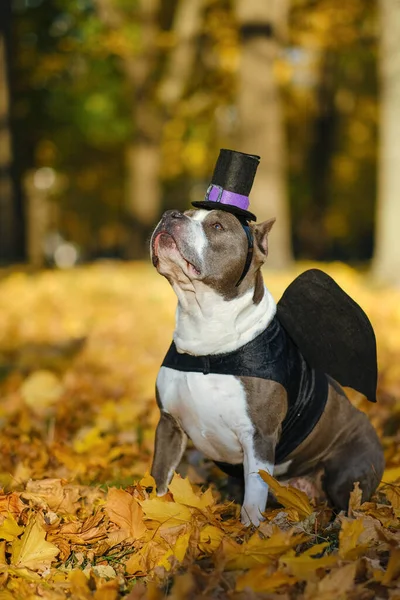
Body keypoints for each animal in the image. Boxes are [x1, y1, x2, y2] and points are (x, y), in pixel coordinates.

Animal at [149, 210, 384, 524]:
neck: (207, 343)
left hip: (348, 469)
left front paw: (249, 530)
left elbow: (254, 493)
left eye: (217, 226)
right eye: (185, 214)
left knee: (349, 504)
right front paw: (153, 515)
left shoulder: (259, 437)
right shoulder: (168, 425)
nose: (169, 215)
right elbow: (160, 478)